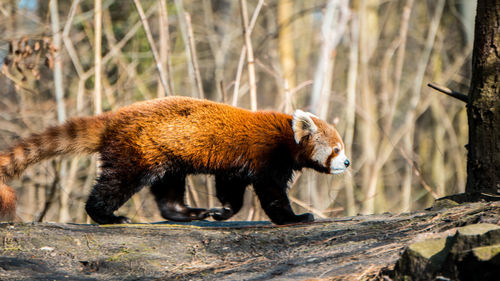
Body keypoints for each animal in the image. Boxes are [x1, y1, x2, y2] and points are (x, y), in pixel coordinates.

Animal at [0, 95, 350, 223]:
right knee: (116, 183)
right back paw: (106, 216)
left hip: (165, 157)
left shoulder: (235, 166)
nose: (346, 163)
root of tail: (114, 118)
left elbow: (231, 189)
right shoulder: (265, 157)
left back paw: (187, 213)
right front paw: (296, 218)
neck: (285, 136)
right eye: (336, 149)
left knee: (168, 191)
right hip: (136, 152)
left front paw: (222, 212)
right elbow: (272, 194)